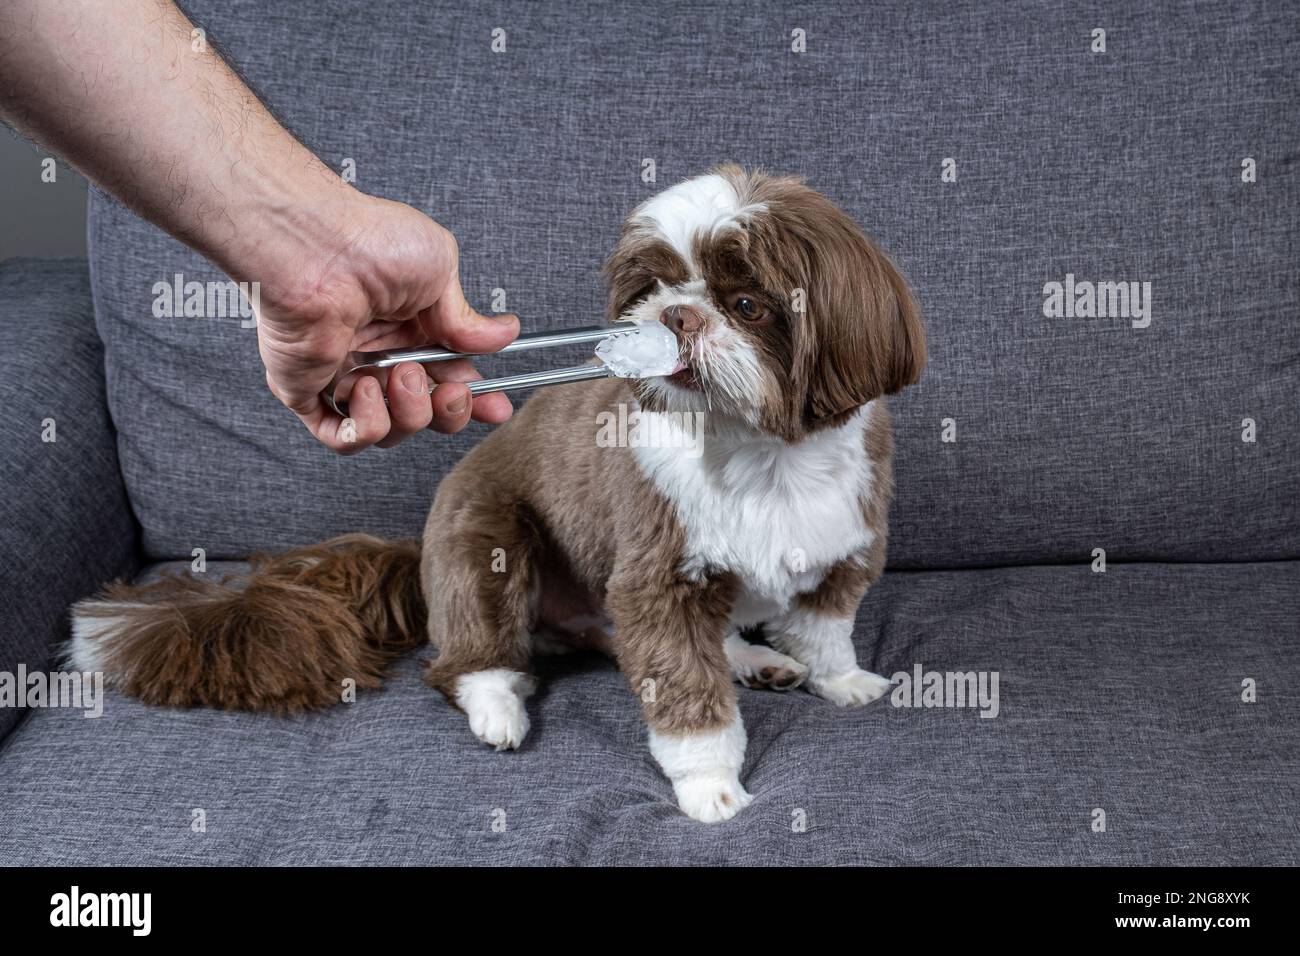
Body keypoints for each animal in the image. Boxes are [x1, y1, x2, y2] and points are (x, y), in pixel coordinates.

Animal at [71, 164, 925, 822]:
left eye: (747, 304)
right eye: (651, 286)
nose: (679, 315)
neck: (761, 456)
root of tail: (420, 543)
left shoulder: (847, 543)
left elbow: (825, 627)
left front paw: (840, 679)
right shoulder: (656, 581)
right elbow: (684, 686)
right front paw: (710, 784)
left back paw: (753, 657)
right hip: (485, 544)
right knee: (469, 658)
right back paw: (498, 708)